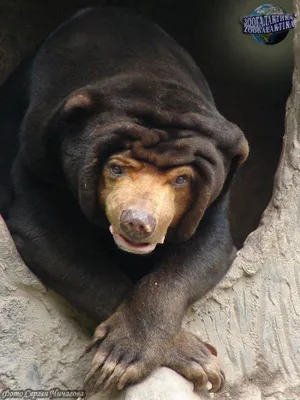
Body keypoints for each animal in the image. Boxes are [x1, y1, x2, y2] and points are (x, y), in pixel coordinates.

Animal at [0, 5, 248, 394]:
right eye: (115, 168)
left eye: (181, 180)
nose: (137, 222)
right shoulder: (37, 151)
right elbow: (46, 234)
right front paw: (184, 355)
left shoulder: (218, 192)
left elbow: (205, 250)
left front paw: (195, 362)